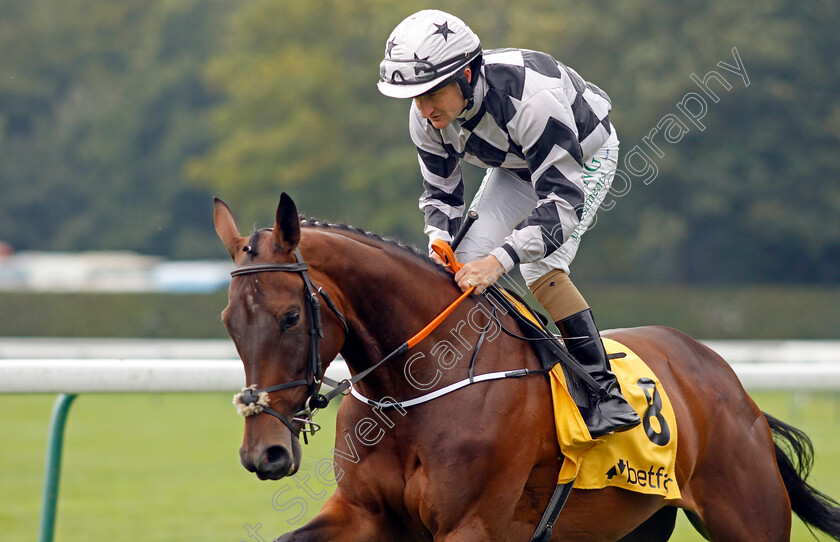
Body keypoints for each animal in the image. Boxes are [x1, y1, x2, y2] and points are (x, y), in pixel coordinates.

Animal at [215, 196, 840, 542]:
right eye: (228, 321)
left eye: (290, 316)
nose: (263, 453)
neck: (412, 391)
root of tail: (731, 384)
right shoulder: (364, 514)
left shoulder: (469, 526)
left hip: (749, 516)